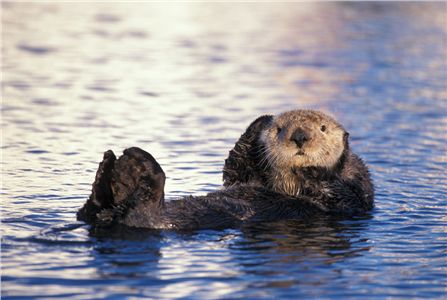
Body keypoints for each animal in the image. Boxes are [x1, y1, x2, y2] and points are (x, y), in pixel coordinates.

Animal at [77, 110, 374, 230]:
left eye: (322, 128)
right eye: (280, 129)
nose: (300, 136)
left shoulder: (358, 191)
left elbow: (346, 196)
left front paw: (314, 171)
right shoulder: (244, 176)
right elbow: (233, 170)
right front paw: (261, 122)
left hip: (146, 217)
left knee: (139, 213)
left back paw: (136, 167)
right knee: (91, 211)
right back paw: (112, 171)